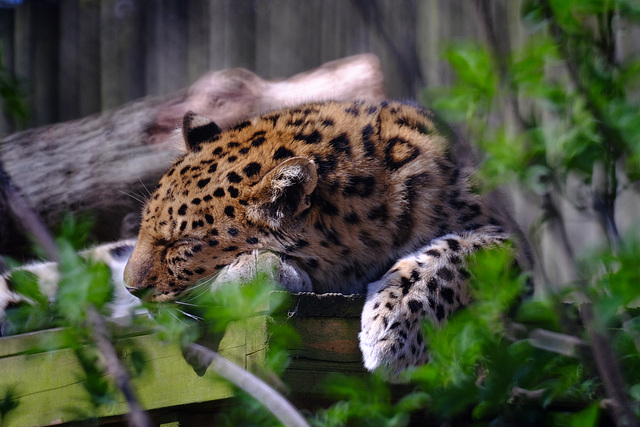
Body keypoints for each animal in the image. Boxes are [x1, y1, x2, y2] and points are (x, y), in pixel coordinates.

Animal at [0, 100, 516, 378]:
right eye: (145, 229)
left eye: (179, 246)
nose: (131, 288)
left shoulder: (513, 239)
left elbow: (460, 253)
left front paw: (394, 329)